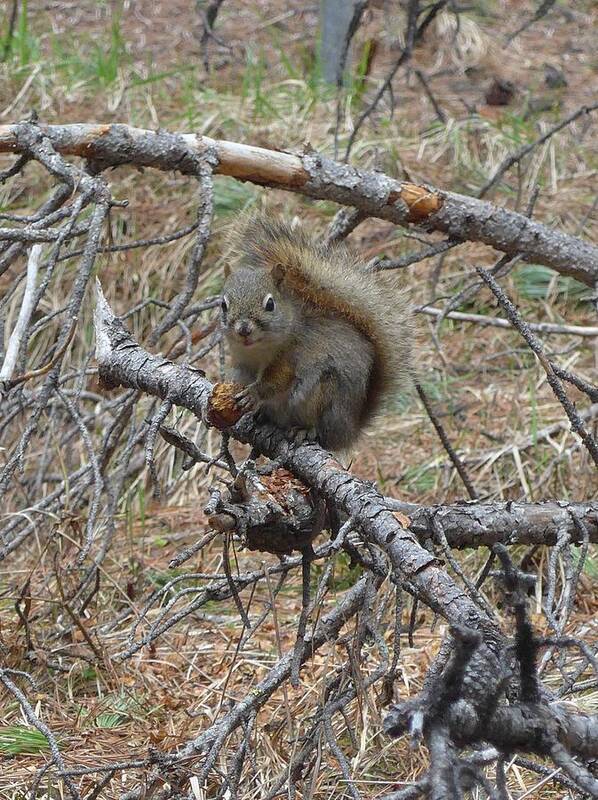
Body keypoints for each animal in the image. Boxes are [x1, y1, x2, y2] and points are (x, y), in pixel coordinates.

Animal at [220, 214, 412, 450]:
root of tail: (347, 431)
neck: (257, 351)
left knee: (316, 424)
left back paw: (305, 430)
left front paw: (254, 394)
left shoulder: (290, 356)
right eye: (223, 305)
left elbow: (275, 382)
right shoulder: (242, 365)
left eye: (270, 304)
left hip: (322, 391)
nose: (244, 329)